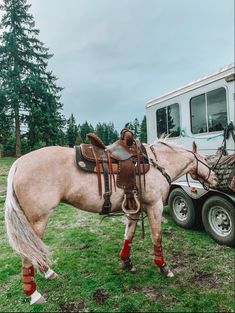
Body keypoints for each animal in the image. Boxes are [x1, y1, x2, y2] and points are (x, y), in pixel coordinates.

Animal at [3, 140, 218, 304]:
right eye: (206, 160)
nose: (216, 179)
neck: (158, 164)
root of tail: (19, 163)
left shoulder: (134, 207)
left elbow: (129, 234)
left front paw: (126, 262)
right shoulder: (154, 206)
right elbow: (157, 237)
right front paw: (163, 267)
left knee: (35, 252)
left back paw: (49, 273)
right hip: (37, 221)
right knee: (27, 254)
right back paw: (34, 294)